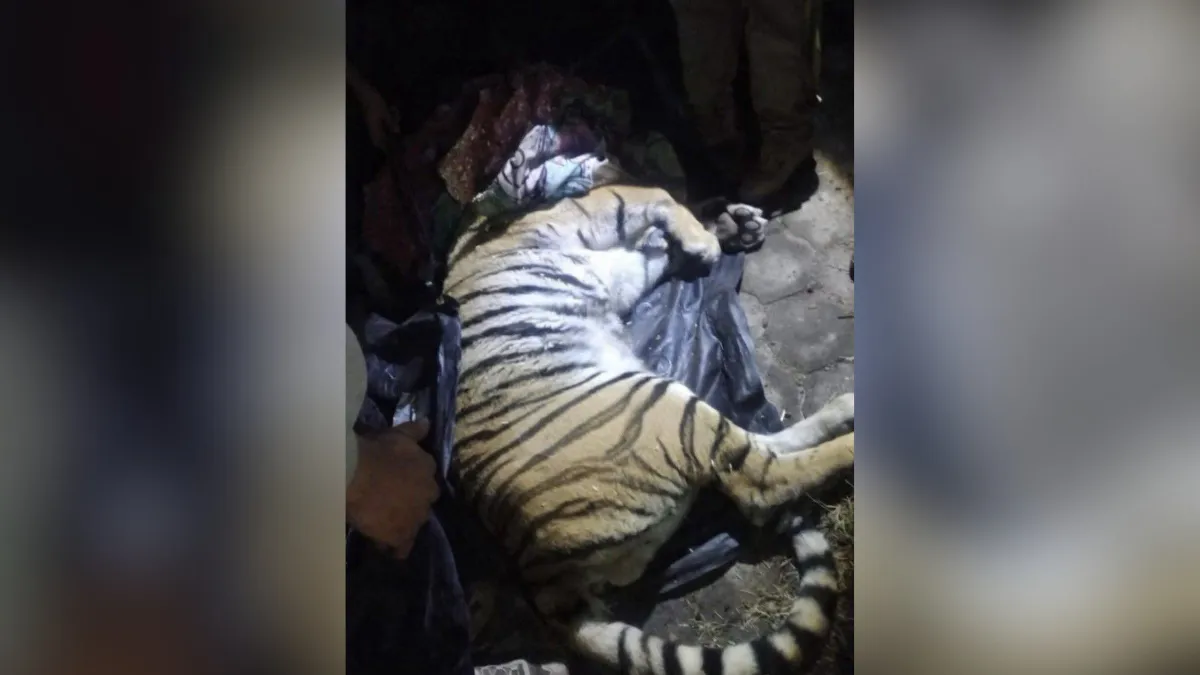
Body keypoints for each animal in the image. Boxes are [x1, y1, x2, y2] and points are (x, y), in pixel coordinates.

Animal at [444, 182, 855, 675]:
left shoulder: (622, 266)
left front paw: (727, 227)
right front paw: (712, 235)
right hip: (662, 408)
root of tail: (537, 571)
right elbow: (654, 193)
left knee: (758, 453)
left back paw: (843, 411)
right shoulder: (589, 211)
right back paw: (853, 439)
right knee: (760, 483)